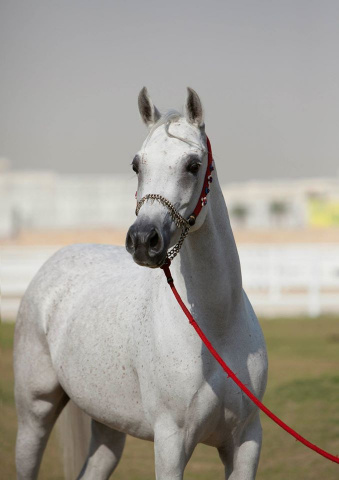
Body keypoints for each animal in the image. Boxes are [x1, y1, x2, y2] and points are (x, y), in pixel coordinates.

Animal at [13, 88, 268, 478]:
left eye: (193, 165)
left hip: (107, 426)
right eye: (137, 165)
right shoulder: (171, 444)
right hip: (34, 414)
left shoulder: (245, 443)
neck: (217, 329)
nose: (143, 240)